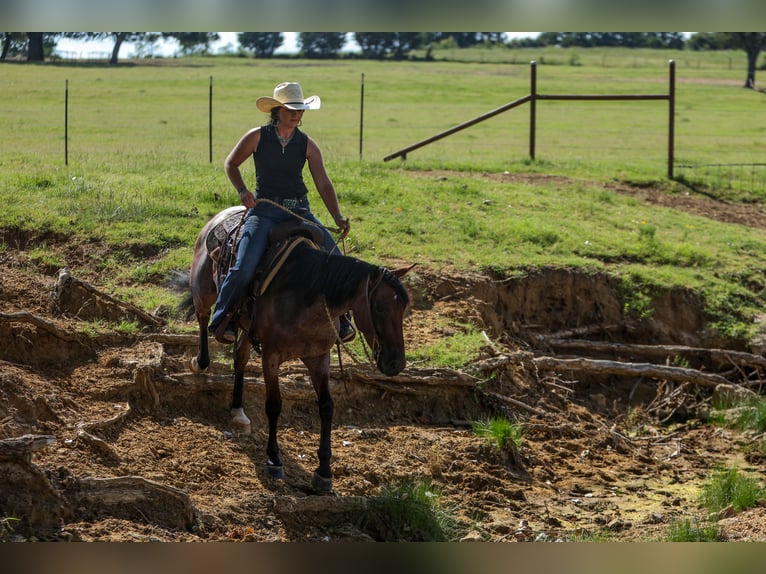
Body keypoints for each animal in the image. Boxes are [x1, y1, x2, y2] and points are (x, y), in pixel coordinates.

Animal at [187, 207, 414, 496]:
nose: (396, 363)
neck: (307, 293)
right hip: (203, 291)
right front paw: (274, 459)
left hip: (248, 329)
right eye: (381, 308)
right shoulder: (271, 356)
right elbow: (274, 405)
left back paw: (238, 411)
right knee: (204, 319)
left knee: (240, 357)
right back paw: (201, 360)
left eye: (404, 308)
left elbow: (327, 407)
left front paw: (324, 471)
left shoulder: (319, 358)